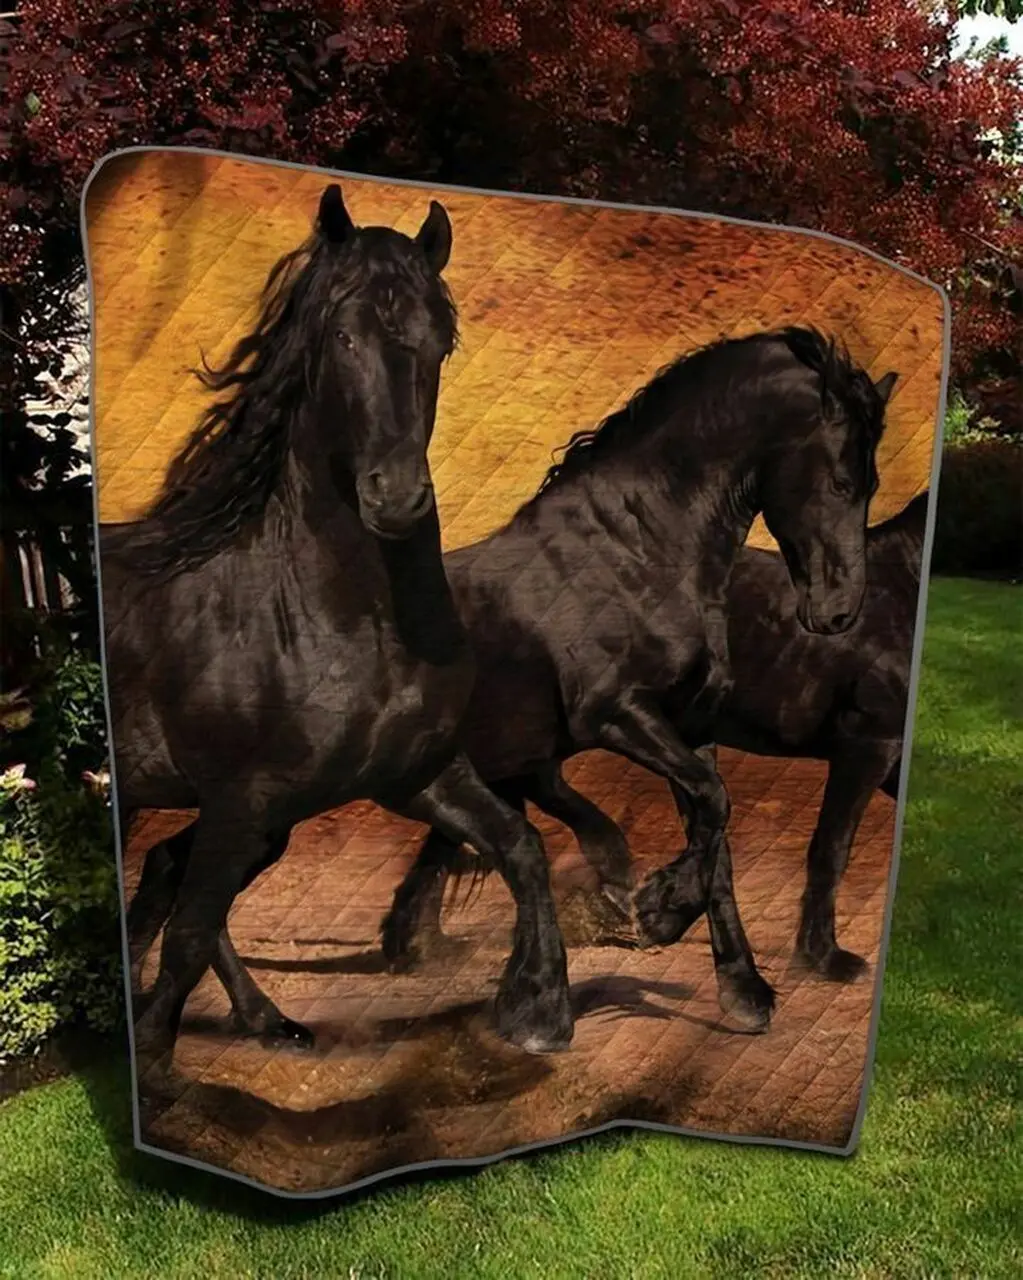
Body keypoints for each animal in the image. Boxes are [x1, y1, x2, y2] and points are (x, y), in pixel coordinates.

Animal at [101, 183, 573, 1066]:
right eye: (343, 335)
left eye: (440, 343)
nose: (396, 497)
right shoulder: (240, 800)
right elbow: (186, 933)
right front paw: (151, 1058)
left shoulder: (417, 774)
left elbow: (519, 847)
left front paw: (539, 1008)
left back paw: (269, 1021)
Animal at [391, 490, 928, 983]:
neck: (899, 592)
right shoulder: (867, 744)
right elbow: (831, 849)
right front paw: (826, 959)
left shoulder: (889, 754)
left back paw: (421, 943)